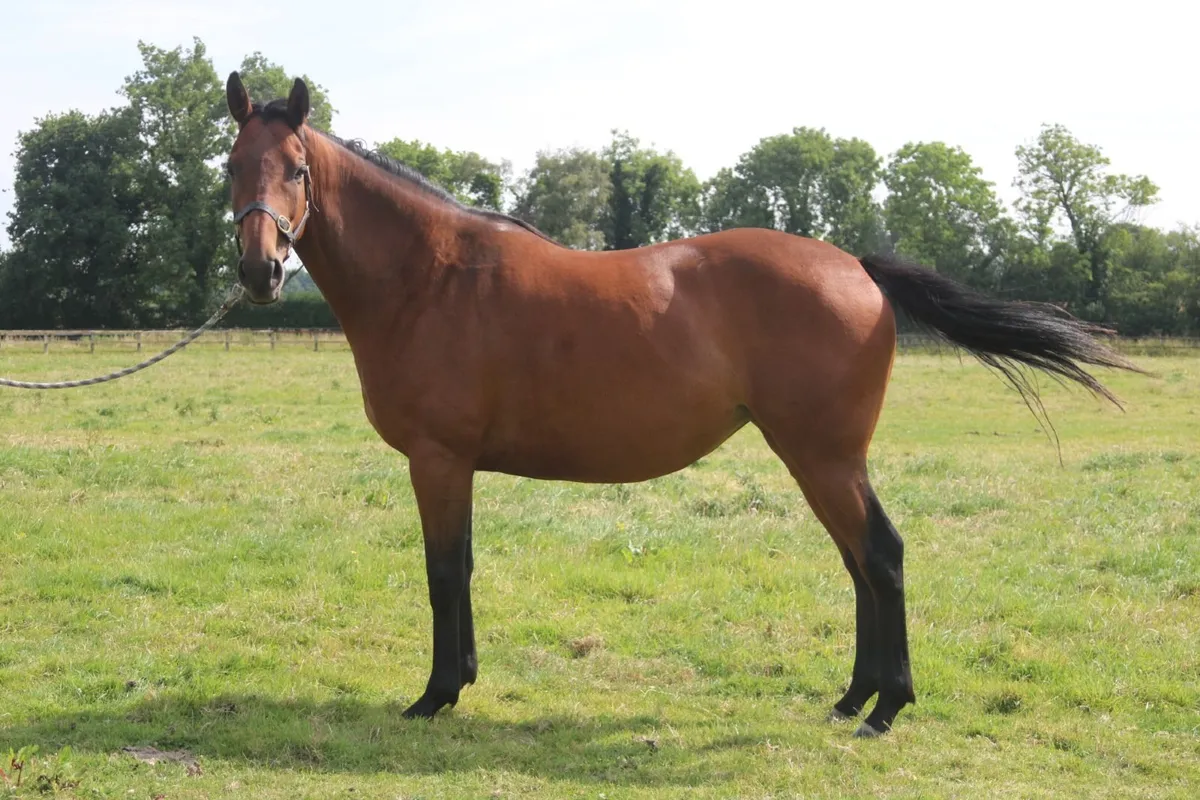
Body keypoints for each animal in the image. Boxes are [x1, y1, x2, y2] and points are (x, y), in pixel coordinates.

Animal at [222, 72, 1142, 737]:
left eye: (297, 169)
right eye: (232, 166)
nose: (261, 272)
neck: (432, 275)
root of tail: (856, 265)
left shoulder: (438, 460)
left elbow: (445, 573)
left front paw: (435, 695)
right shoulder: (453, 465)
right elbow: (464, 568)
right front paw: (462, 682)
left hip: (823, 456)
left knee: (880, 556)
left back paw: (885, 709)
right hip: (821, 461)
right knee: (859, 563)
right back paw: (853, 697)